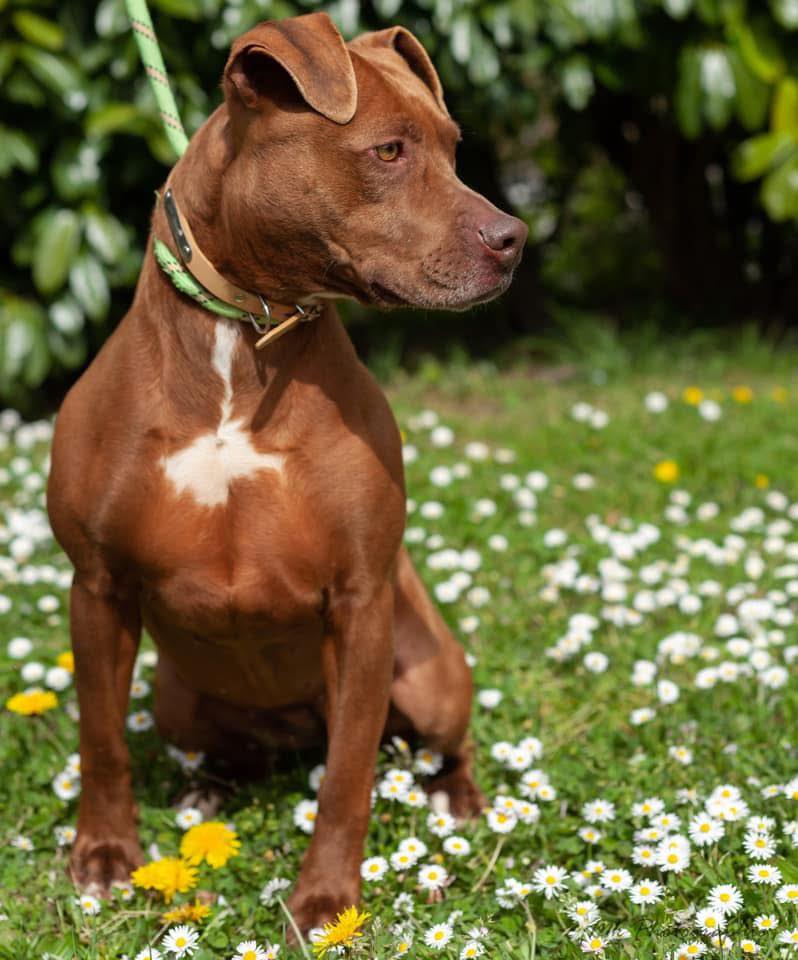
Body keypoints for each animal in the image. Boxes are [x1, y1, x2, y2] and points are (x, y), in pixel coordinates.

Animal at [47, 11, 527, 932]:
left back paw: (458, 802)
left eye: (454, 148)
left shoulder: (362, 602)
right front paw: (106, 856)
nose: (515, 240)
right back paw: (204, 792)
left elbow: (347, 779)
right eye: (388, 150)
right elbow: (99, 739)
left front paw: (328, 902)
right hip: (177, 696)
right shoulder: (97, 588)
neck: (245, 332)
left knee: (432, 745)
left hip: (431, 672)